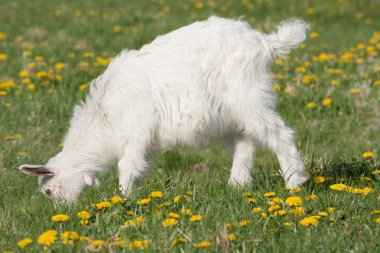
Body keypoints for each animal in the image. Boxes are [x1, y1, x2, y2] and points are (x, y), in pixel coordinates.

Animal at [20, 16, 308, 202]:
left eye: (49, 191)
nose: (63, 214)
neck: (106, 117)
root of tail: (265, 43)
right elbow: (137, 168)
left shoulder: (138, 131)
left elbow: (127, 166)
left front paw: (123, 201)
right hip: (232, 112)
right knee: (244, 142)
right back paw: (236, 187)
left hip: (248, 97)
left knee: (280, 135)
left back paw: (294, 184)